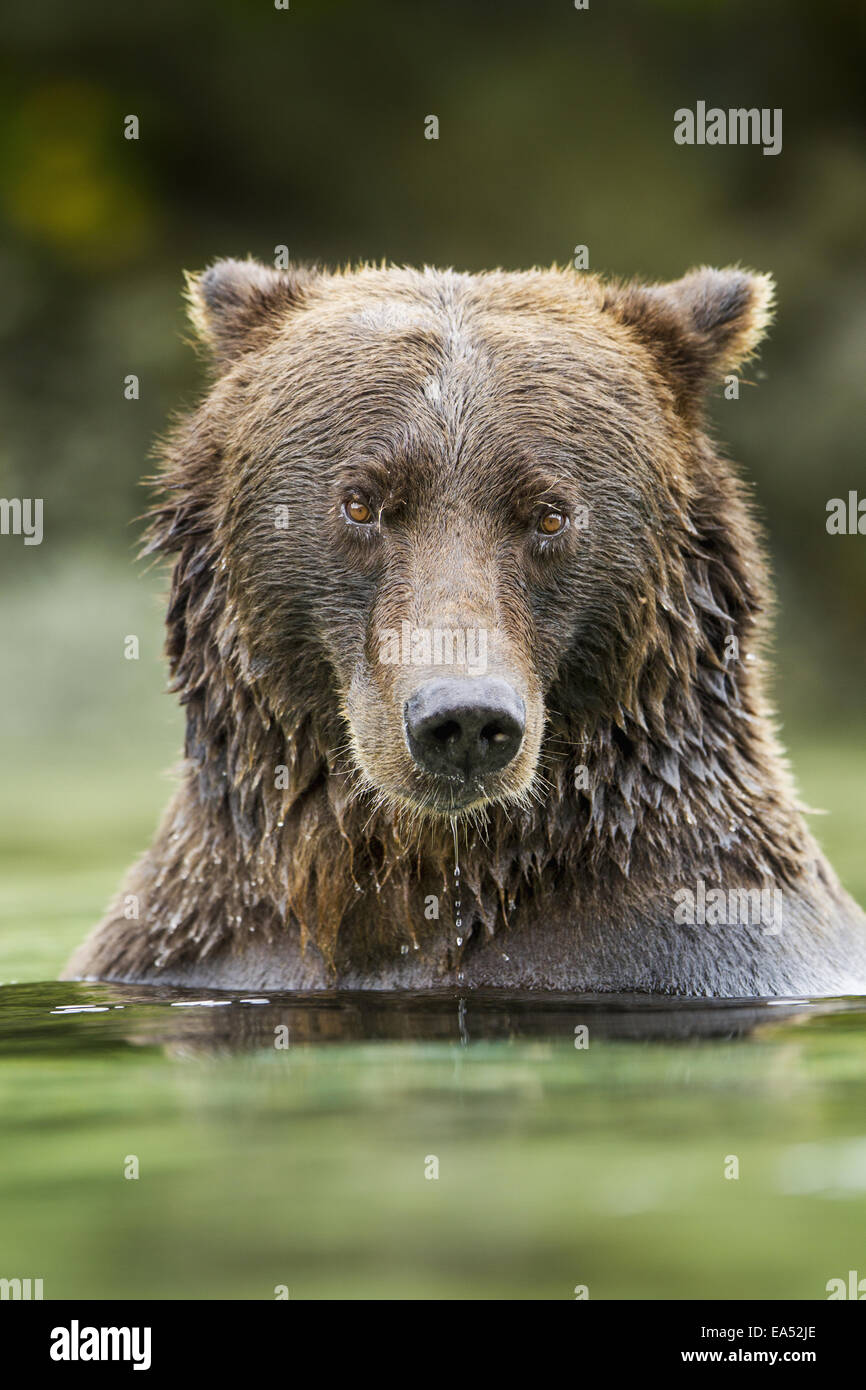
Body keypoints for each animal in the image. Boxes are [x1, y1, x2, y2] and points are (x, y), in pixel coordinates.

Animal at [64, 261, 866, 995]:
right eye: (362, 502)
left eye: (549, 514)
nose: (466, 718)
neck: (429, 872)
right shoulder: (211, 946)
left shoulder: (682, 947)